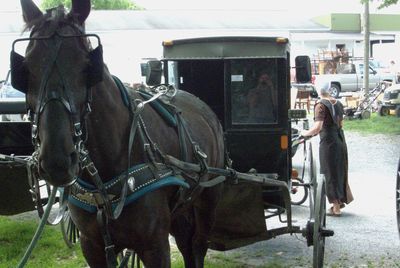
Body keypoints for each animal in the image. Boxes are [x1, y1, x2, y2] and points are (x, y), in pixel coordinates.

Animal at [15, 1, 227, 266]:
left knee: (197, 247)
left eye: (87, 67)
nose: (57, 161)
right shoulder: (92, 245)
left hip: (209, 198)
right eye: (25, 68)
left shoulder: (155, 246)